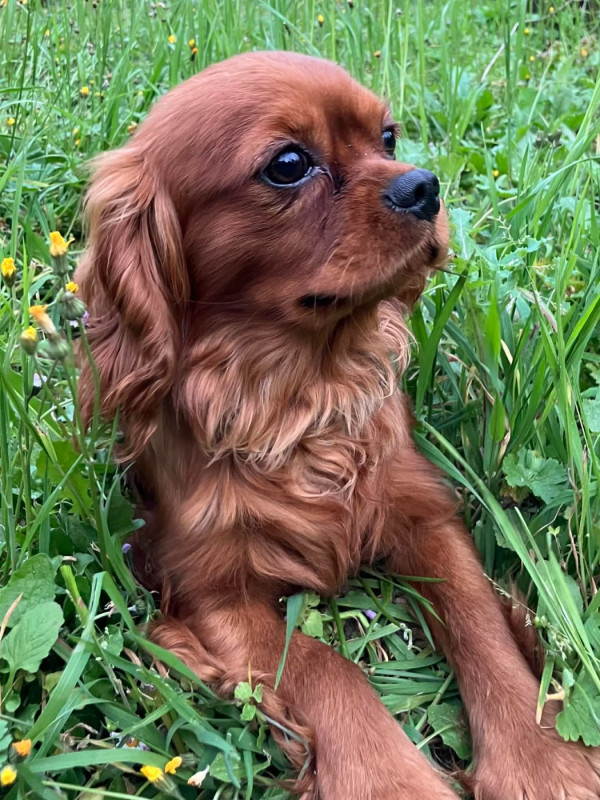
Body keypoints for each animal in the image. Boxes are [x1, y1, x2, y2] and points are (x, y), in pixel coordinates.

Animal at [76, 51, 600, 799]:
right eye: (290, 164)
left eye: (388, 137)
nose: (423, 185)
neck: (302, 389)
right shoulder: (209, 592)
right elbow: (325, 666)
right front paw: (389, 780)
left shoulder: (424, 512)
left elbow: (479, 620)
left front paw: (539, 758)